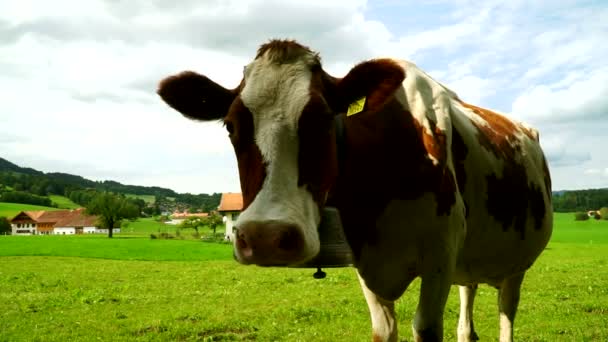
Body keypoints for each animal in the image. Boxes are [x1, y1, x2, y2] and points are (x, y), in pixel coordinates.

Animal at [157, 39, 552, 342]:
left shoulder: (439, 256)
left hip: (518, 264)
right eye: (230, 125)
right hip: (468, 263)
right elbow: (384, 330)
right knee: (467, 317)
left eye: (322, 118)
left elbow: (425, 329)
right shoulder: (368, 263)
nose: (265, 236)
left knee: (506, 312)